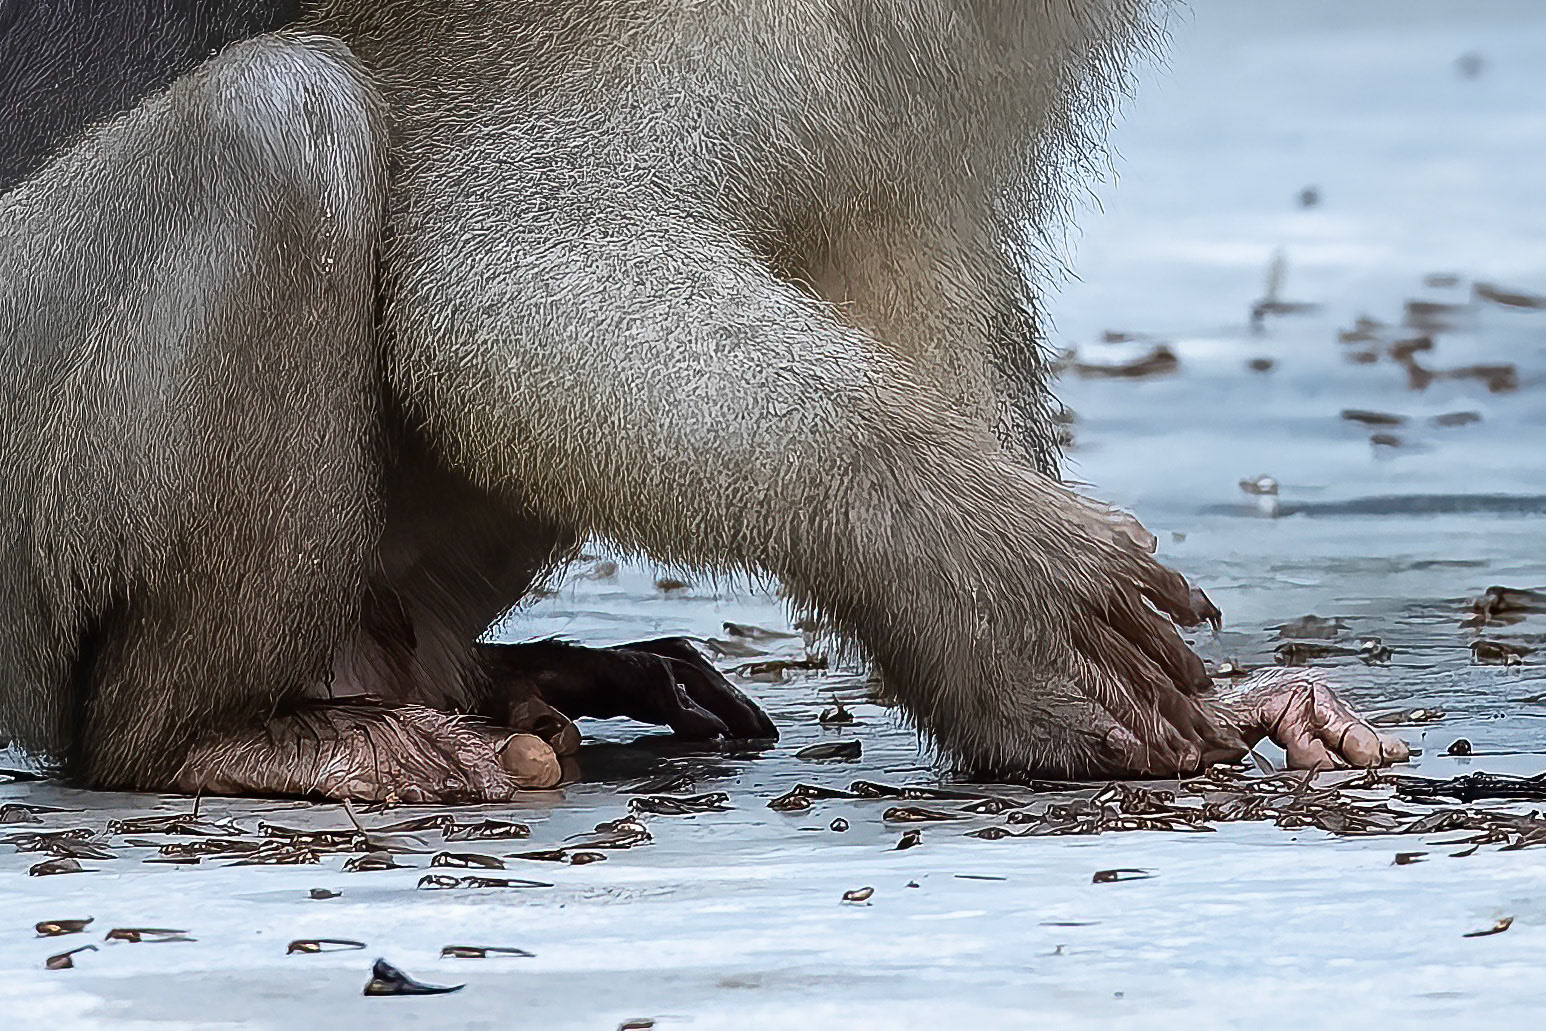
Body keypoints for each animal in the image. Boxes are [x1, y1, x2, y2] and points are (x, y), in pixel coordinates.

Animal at [0, 0, 1410, 802]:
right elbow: (506, 264)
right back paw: (199, 734)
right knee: (275, 124)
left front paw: (1010, 677)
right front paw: (969, 553)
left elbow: (900, 228)